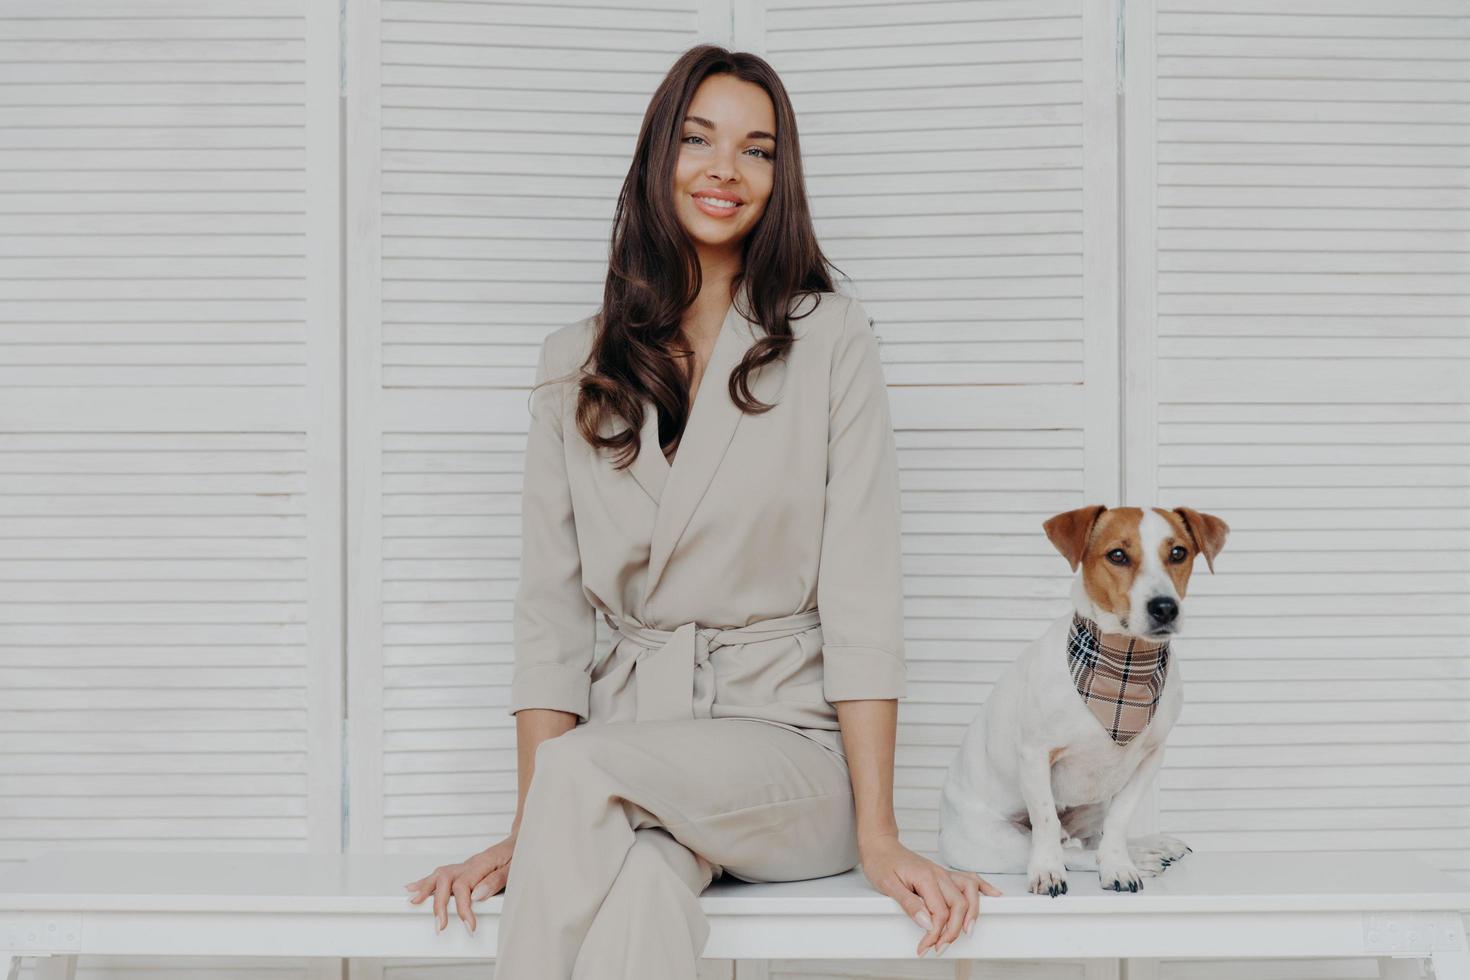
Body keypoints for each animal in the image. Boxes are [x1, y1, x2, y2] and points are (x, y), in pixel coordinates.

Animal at [940, 505, 1228, 899]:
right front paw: (1048, 872)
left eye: (1178, 553)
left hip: (1093, 806)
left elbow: (1119, 823)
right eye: (1117, 555)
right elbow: (1046, 820)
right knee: (1065, 847)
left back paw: (1145, 848)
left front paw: (1119, 864)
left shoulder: (1150, 757)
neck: (1124, 666)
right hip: (997, 842)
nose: (1165, 608)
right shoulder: (1035, 754)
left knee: (1092, 840)